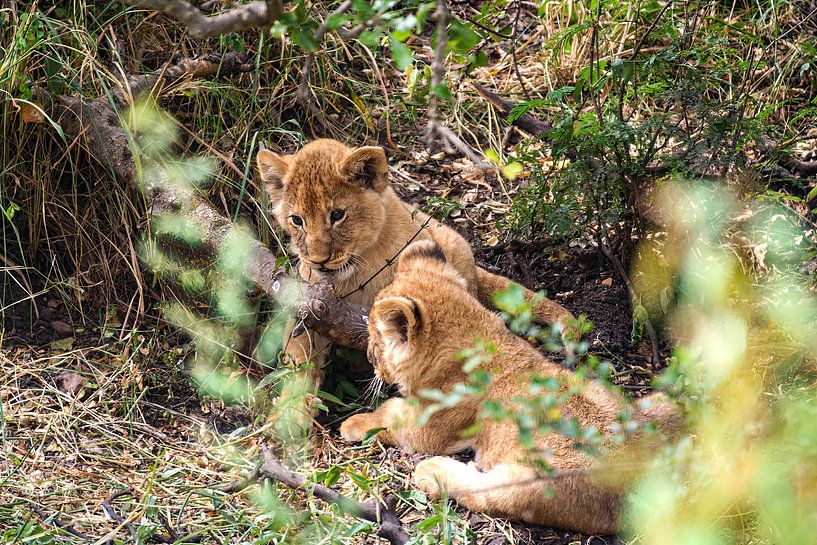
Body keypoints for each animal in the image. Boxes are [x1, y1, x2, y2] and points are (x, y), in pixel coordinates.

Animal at [340, 240, 682, 535]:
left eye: (374, 341)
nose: (369, 359)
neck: (481, 338)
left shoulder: (428, 428)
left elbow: (390, 415)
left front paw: (353, 423)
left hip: (532, 482)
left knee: (484, 492)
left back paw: (433, 471)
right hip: (648, 404)